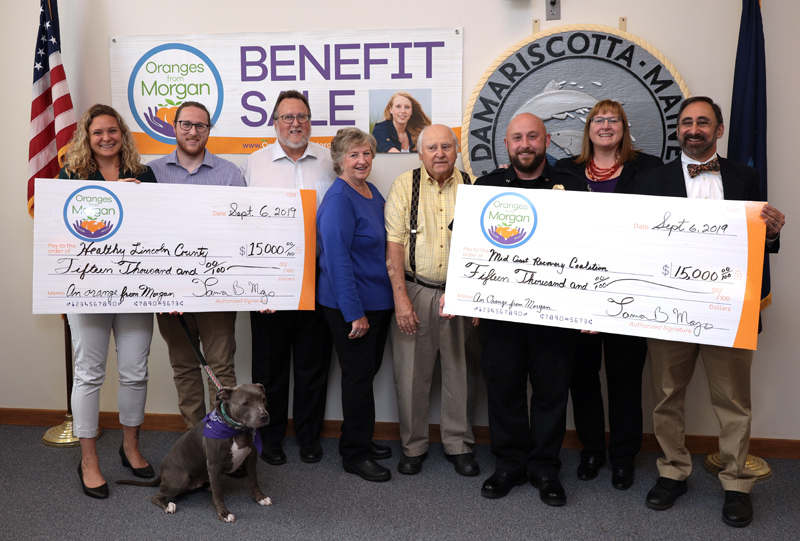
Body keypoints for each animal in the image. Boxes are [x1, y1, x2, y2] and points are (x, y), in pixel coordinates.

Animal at [117, 382, 270, 520]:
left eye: (263, 399)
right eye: (246, 403)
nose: (264, 417)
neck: (236, 430)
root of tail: (163, 472)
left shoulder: (251, 458)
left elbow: (253, 481)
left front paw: (260, 497)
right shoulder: (214, 465)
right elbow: (218, 494)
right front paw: (224, 513)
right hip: (180, 479)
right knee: (156, 496)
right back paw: (168, 505)